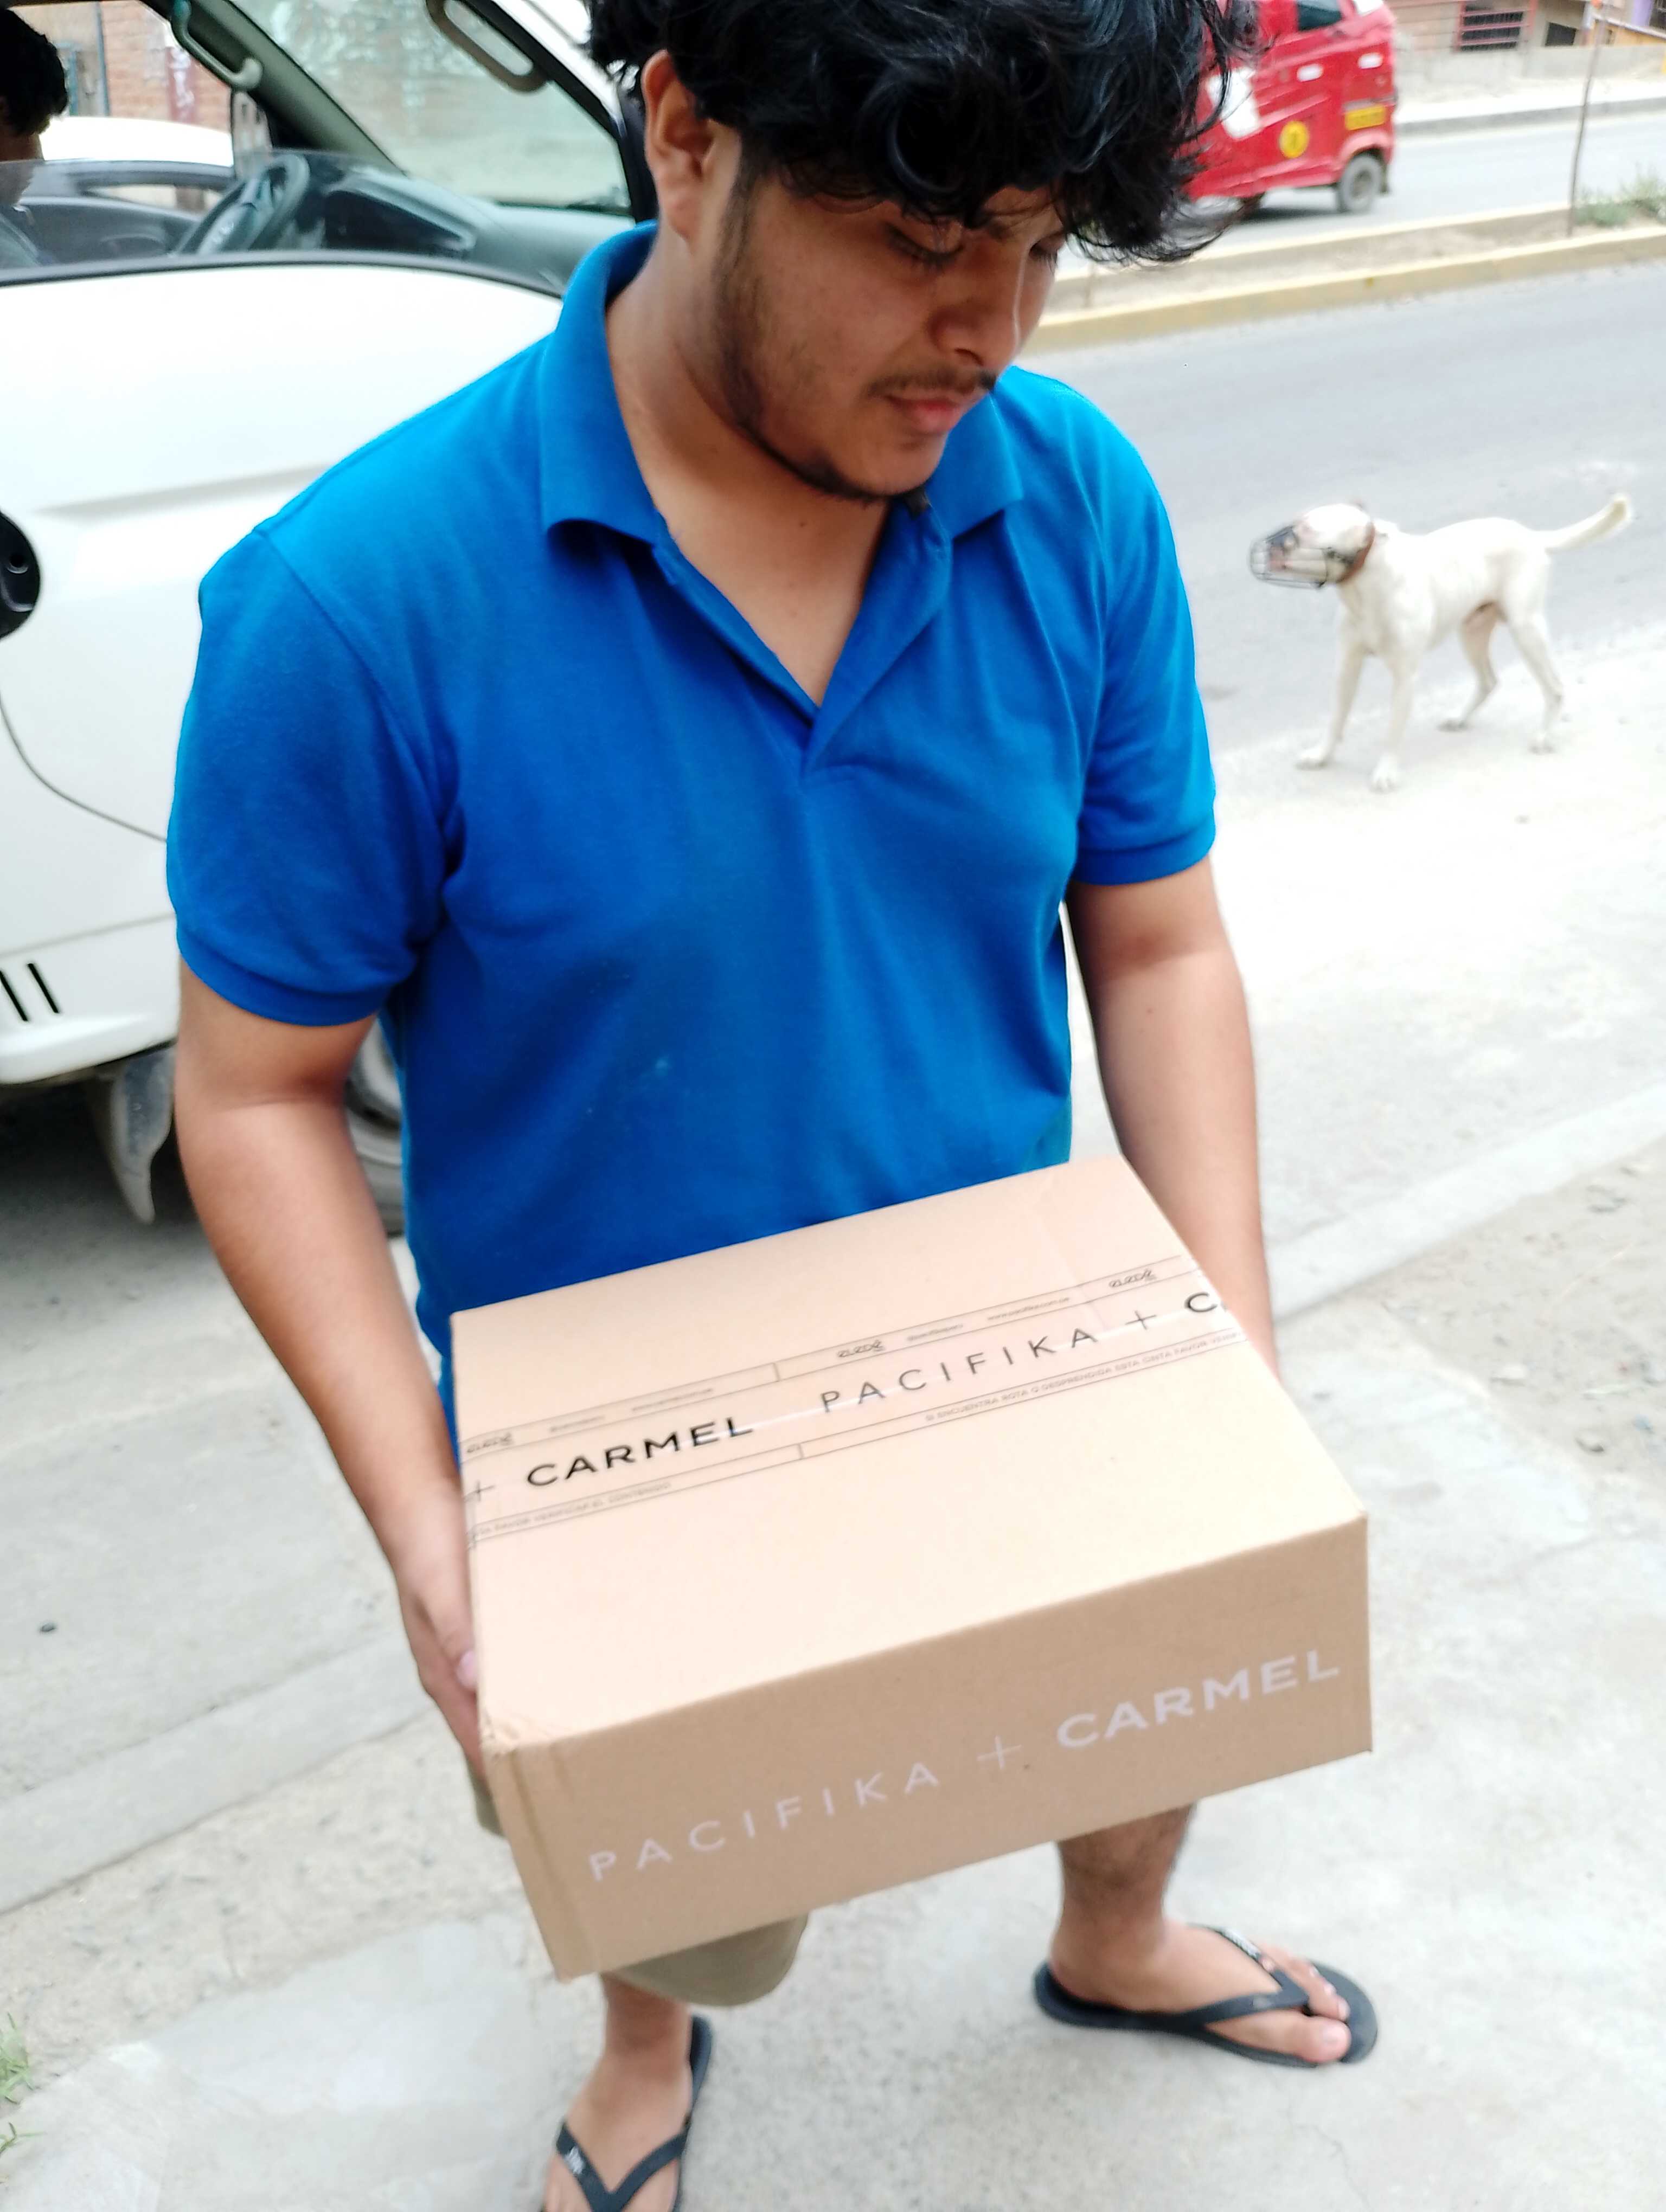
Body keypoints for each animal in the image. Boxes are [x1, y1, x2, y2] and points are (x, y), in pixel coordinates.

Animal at [1250, 494, 1633, 791]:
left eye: (1305, 530)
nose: (1268, 546)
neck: (1364, 583)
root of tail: (1531, 535)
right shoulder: (1347, 665)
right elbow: (1336, 719)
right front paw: (1321, 755)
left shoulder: (1405, 677)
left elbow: (1393, 731)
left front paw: (1386, 772)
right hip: (1472, 631)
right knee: (1488, 680)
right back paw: (1460, 718)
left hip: (1526, 630)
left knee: (1554, 687)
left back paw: (1544, 735)